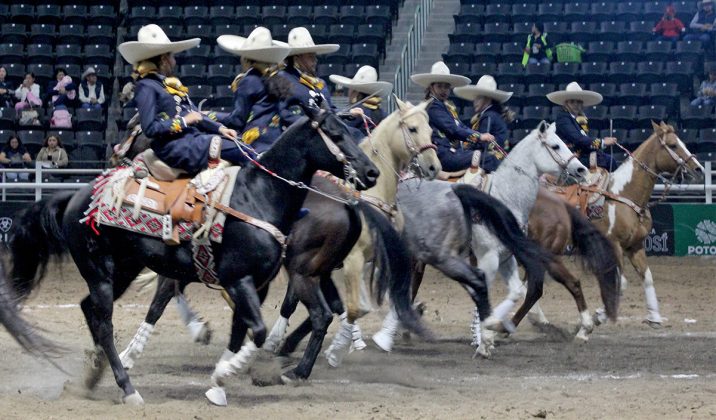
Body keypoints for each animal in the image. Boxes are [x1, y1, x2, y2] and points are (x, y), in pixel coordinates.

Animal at [4, 106, 380, 406]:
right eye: (335, 134)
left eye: (348, 131)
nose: (371, 172)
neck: (257, 196)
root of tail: (75, 197)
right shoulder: (237, 280)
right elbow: (252, 330)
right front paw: (225, 366)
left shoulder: (254, 285)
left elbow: (241, 331)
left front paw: (220, 380)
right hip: (101, 270)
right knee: (105, 323)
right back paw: (127, 387)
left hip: (124, 269)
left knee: (90, 311)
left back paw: (96, 373)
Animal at [370, 120, 592, 356]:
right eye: (555, 145)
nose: (581, 169)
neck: (506, 197)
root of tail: (562, 207)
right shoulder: (488, 258)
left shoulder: (497, 258)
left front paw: (486, 334)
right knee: (544, 287)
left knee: (547, 287)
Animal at [520, 120, 704, 334]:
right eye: (673, 145)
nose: (699, 169)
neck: (625, 195)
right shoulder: (613, 244)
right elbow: (620, 282)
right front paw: (598, 316)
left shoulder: (635, 246)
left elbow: (647, 277)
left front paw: (654, 317)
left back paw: (538, 319)